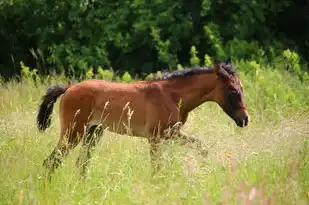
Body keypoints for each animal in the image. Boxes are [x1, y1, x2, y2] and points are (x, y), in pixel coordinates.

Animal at [36, 58, 248, 179]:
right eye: (233, 91)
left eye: (242, 89)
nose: (245, 119)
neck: (171, 96)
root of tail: (69, 88)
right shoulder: (155, 137)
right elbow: (156, 167)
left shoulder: (171, 134)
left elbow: (200, 146)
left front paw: (203, 169)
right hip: (73, 133)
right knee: (50, 162)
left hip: (93, 132)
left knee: (81, 164)